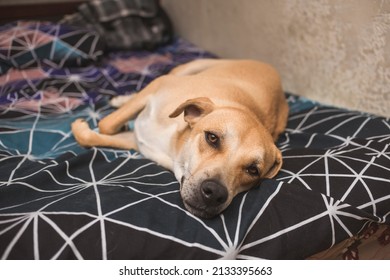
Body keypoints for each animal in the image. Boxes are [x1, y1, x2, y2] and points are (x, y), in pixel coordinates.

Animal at [71, 59, 288, 219]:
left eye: (253, 170)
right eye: (212, 137)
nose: (215, 193)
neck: (174, 145)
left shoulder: (136, 141)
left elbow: (98, 133)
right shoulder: (157, 87)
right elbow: (105, 125)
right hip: (189, 67)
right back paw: (121, 99)